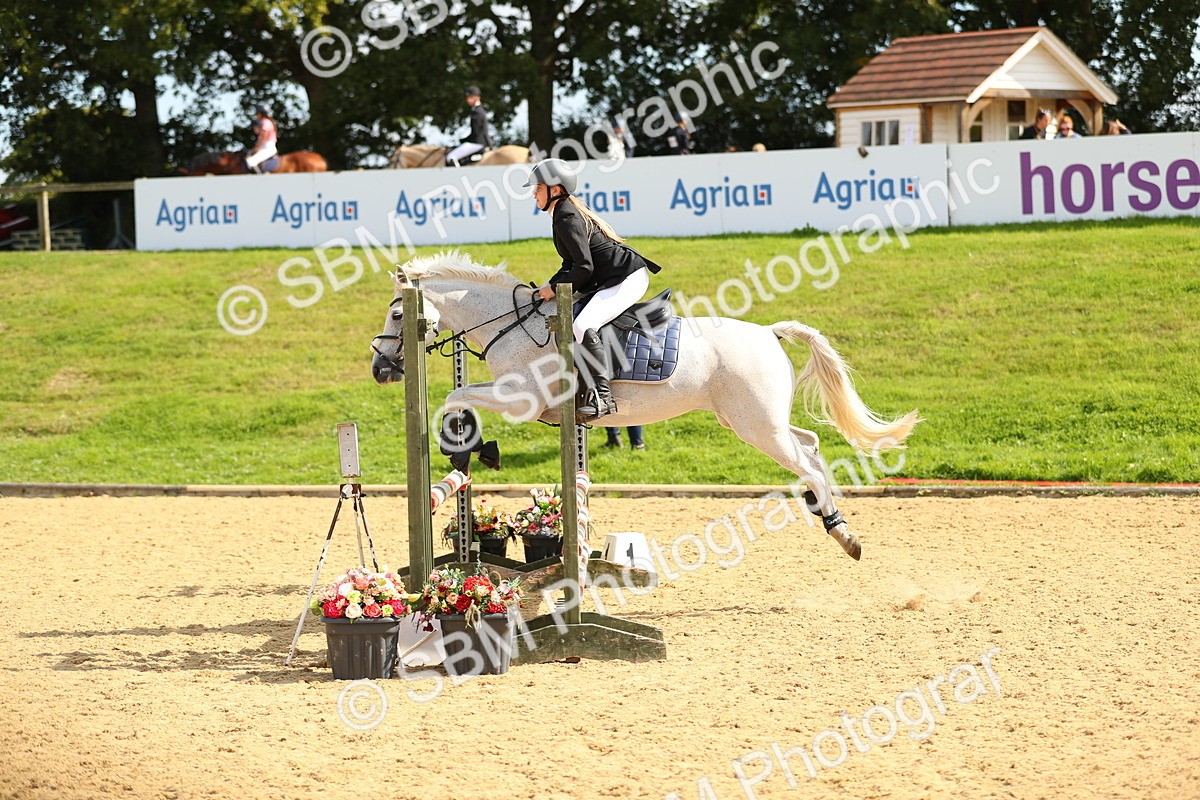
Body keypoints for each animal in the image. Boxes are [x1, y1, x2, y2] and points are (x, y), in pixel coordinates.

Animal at [370, 252, 921, 561]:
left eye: (397, 313)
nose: (381, 369)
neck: (511, 322)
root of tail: (768, 332)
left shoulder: (522, 399)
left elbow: (455, 396)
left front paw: (467, 445)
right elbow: (460, 397)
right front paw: (473, 448)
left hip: (756, 426)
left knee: (804, 460)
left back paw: (841, 532)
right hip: (755, 420)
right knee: (810, 445)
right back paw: (827, 514)